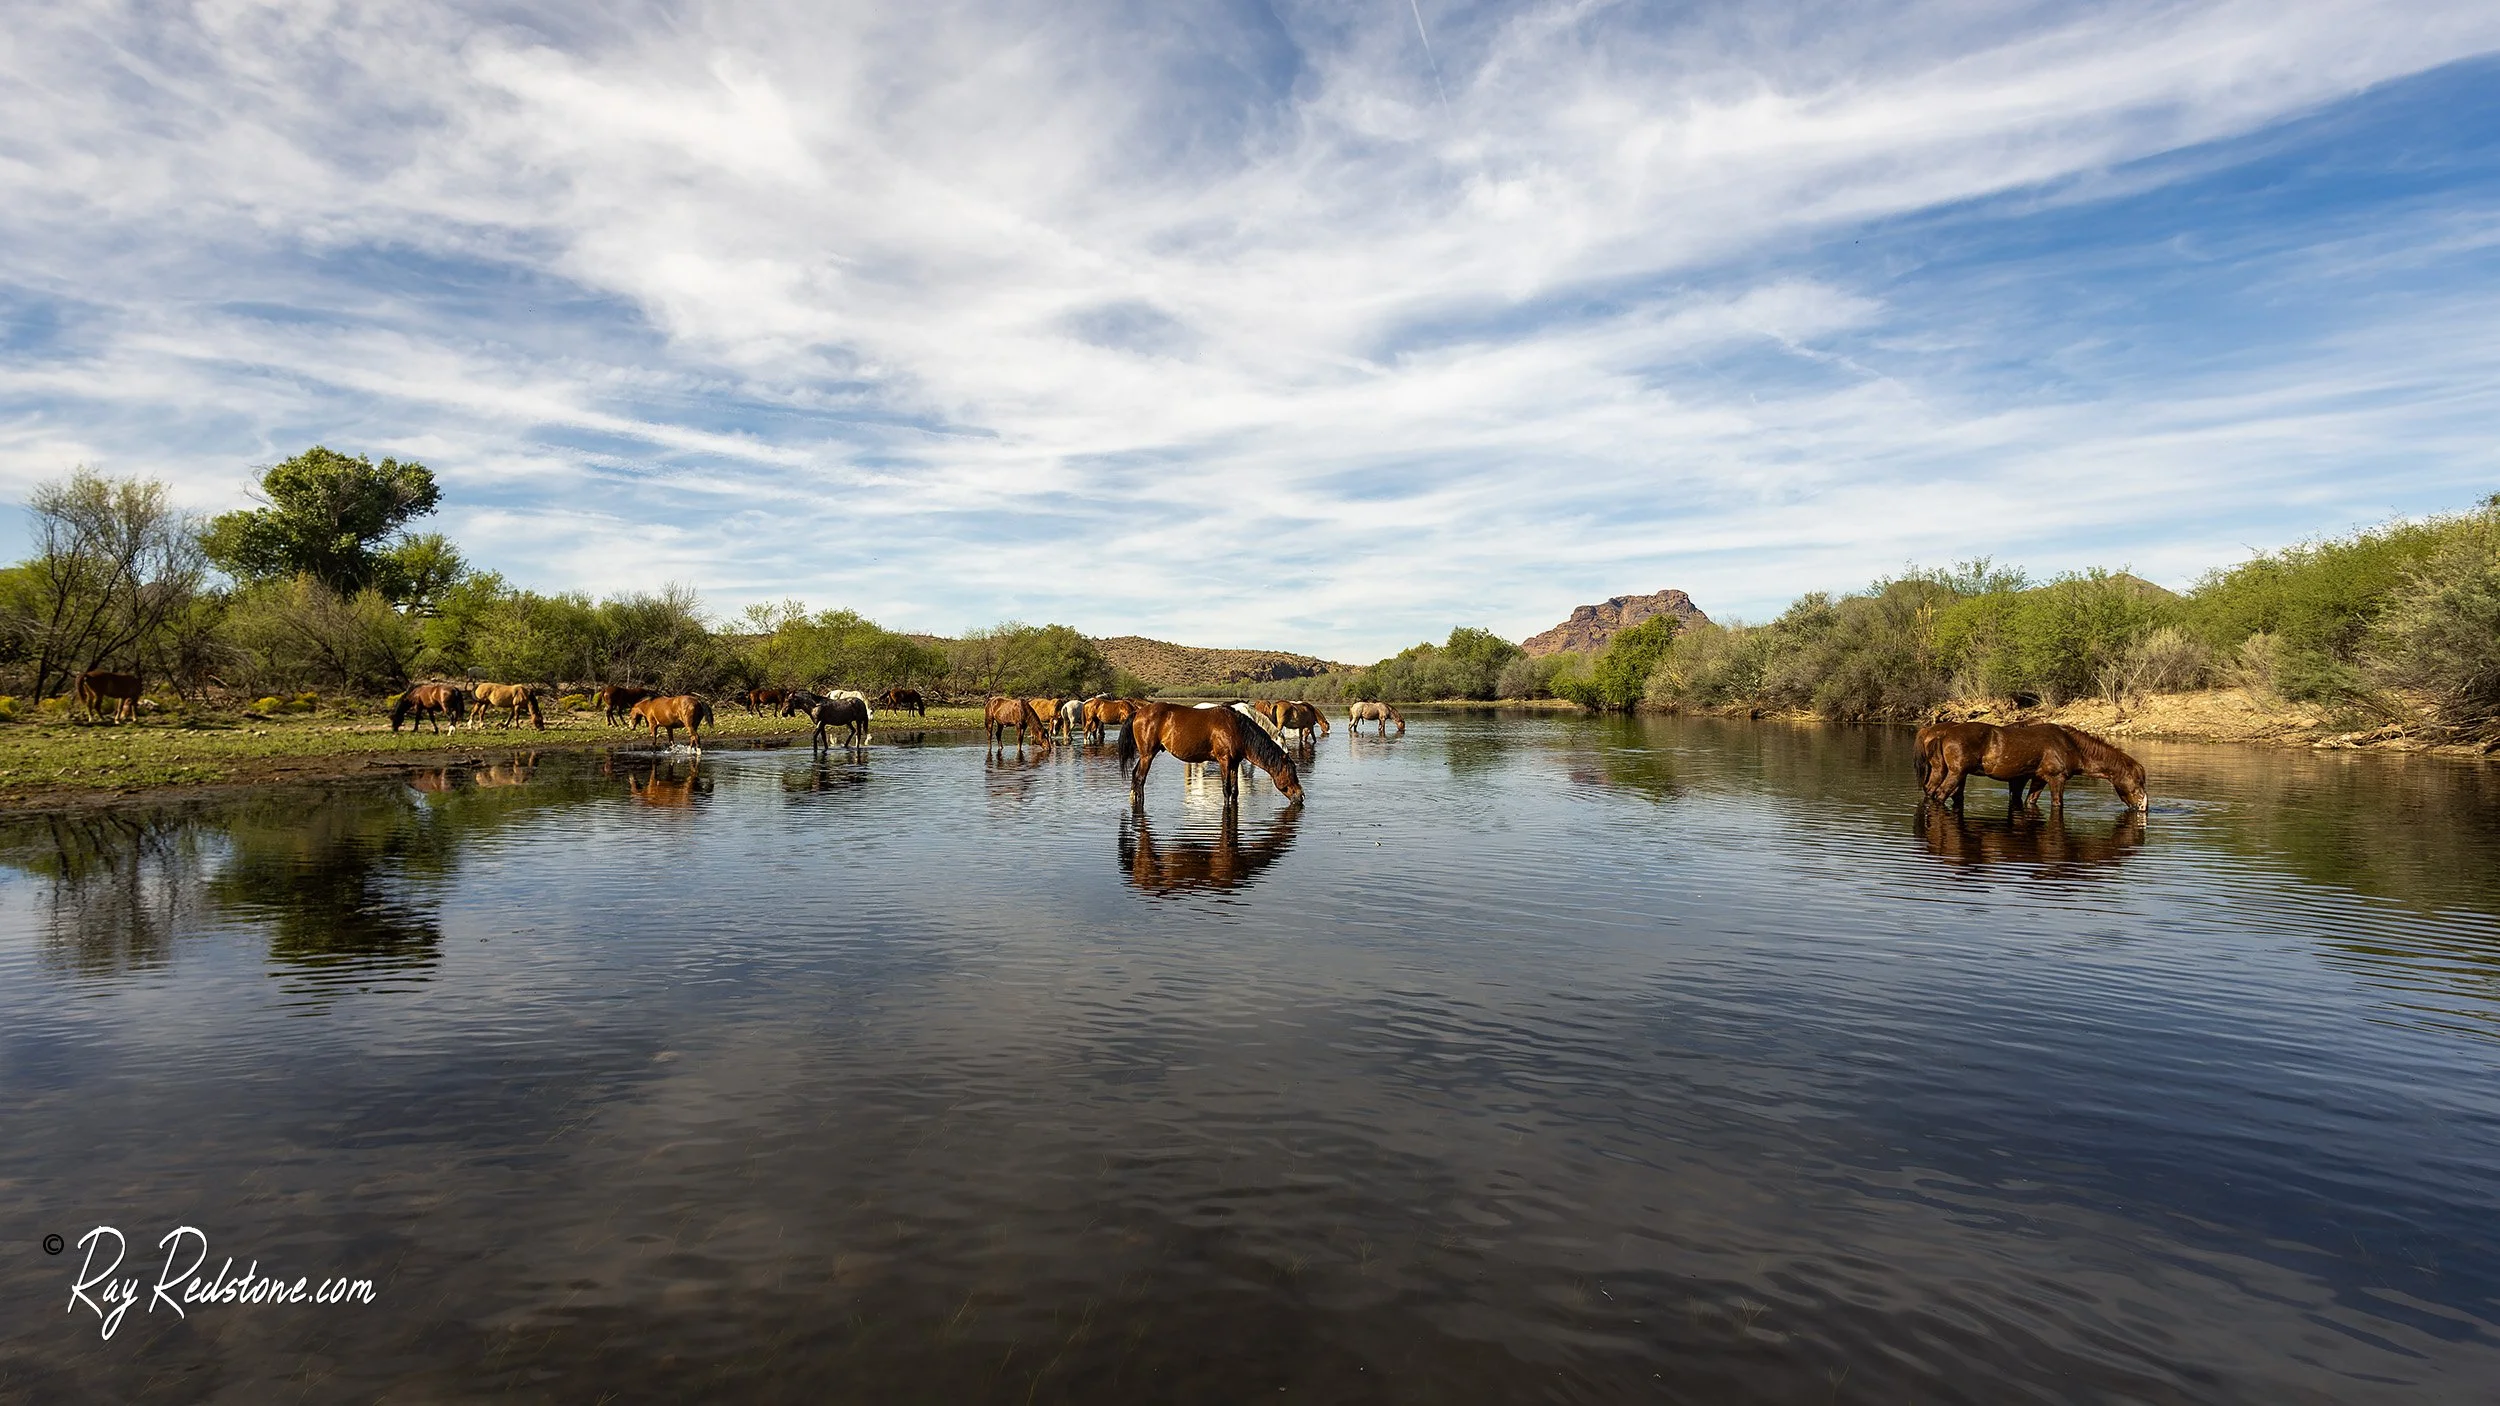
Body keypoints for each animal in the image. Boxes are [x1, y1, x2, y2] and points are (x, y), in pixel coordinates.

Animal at [1119, 700, 1304, 805]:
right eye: (1291, 773)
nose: (1301, 796)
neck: (1237, 728)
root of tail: (1138, 712)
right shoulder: (1224, 761)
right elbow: (1226, 789)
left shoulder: (1234, 763)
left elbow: (1235, 791)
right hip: (1147, 755)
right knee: (1140, 778)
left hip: (1146, 755)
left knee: (1136, 776)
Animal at [1927, 722, 2147, 813]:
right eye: (2138, 781)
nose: (2144, 807)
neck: (2071, 745)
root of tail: (1943, 734)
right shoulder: (2057, 778)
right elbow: (2058, 803)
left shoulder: (2039, 778)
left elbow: (2030, 801)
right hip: (1956, 773)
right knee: (1940, 795)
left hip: (1941, 771)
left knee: (1931, 791)